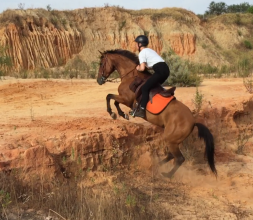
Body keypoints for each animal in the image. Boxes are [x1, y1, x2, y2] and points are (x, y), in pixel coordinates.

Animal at [96, 49, 216, 178]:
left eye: (101, 64)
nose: (99, 80)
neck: (130, 76)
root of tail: (193, 122)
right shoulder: (124, 99)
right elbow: (114, 101)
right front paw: (122, 114)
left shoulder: (126, 99)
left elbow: (109, 97)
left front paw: (113, 113)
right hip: (174, 140)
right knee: (171, 155)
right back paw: (157, 164)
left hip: (171, 139)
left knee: (179, 158)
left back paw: (167, 174)